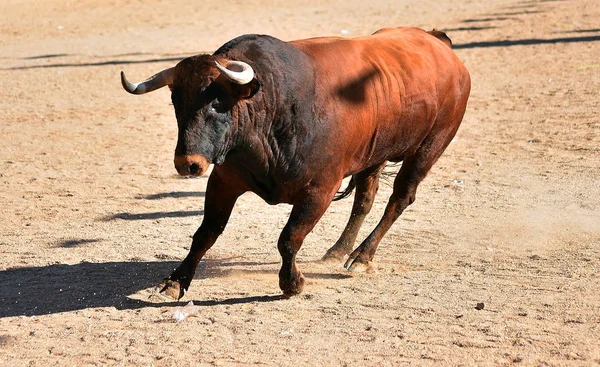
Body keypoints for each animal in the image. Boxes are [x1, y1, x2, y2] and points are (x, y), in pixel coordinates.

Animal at [120, 28, 468, 300]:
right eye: (175, 101)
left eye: (218, 102)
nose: (188, 164)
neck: (274, 105)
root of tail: (440, 44)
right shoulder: (224, 181)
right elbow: (206, 233)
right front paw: (175, 282)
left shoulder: (319, 190)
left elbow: (289, 238)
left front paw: (292, 283)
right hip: (376, 154)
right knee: (365, 199)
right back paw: (339, 250)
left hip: (430, 146)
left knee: (400, 198)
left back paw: (361, 256)